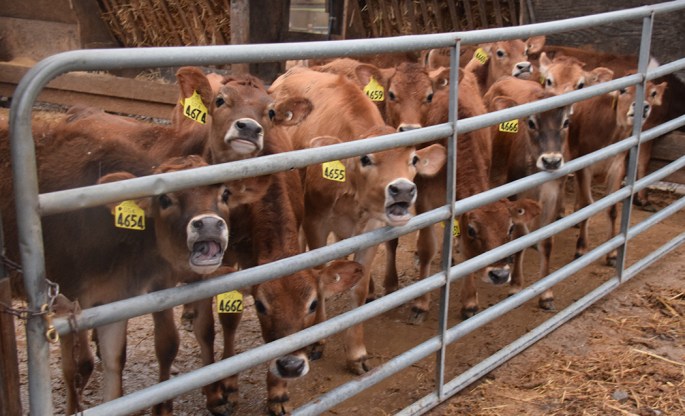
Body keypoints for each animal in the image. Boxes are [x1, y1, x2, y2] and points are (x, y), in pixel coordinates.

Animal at [483, 76, 573, 312]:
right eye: (531, 123)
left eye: (566, 123)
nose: (551, 161)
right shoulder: (516, 194)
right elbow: (518, 239)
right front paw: (515, 286)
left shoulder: (554, 195)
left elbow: (547, 242)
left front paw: (547, 294)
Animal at [569, 79, 667, 265]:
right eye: (622, 90)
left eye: (652, 93)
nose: (643, 106)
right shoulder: (583, 166)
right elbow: (587, 205)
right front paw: (581, 248)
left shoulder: (617, 167)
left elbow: (612, 208)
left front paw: (613, 253)